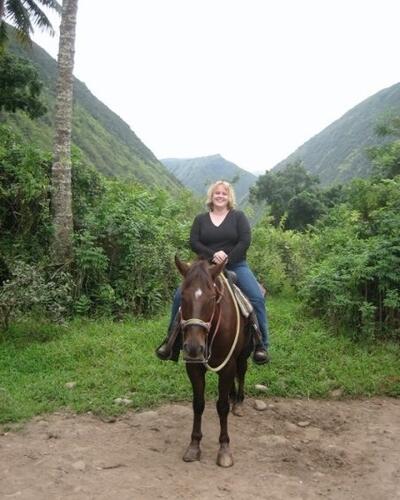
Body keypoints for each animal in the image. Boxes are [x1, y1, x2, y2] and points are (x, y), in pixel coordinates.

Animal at [174, 256, 252, 466]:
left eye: (211, 298)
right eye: (182, 296)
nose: (194, 348)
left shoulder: (228, 366)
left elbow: (222, 407)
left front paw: (224, 449)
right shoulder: (193, 367)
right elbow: (198, 404)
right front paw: (194, 446)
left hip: (242, 356)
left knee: (241, 372)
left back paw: (238, 403)